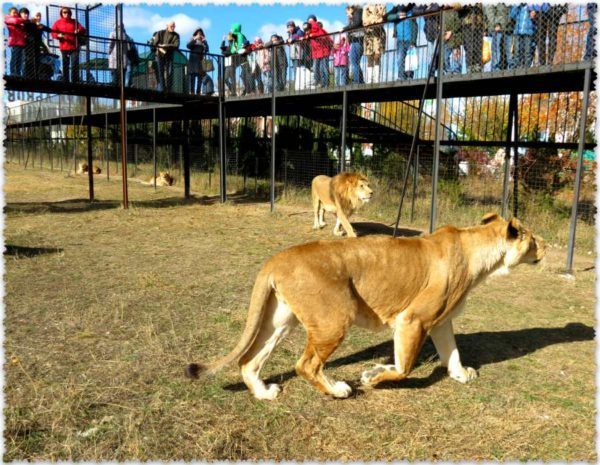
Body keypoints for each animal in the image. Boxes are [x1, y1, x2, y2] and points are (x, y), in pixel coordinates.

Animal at [185, 214, 548, 398]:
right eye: (533, 238)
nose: (547, 245)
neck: (481, 256)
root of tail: (275, 259)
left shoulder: (441, 322)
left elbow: (452, 353)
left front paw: (461, 375)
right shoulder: (412, 319)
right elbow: (403, 368)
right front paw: (371, 377)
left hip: (279, 321)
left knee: (249, 360)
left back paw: (264, 393)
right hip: (334, 318)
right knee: (306, 365)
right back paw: (338, 390)